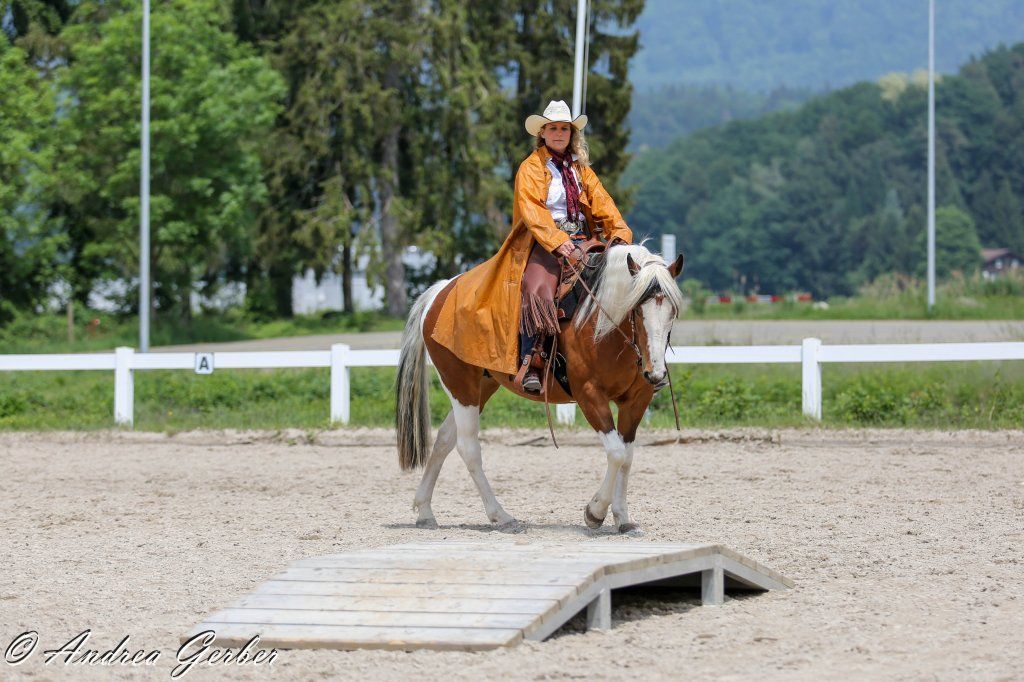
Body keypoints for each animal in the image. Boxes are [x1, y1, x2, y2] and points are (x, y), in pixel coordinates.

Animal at [395, 242, 685, 533]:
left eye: (673, 312)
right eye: (637, 309)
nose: (655, 373)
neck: (601, 326)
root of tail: (440, 292)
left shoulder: (636, 401)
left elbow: (627, 455)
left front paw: (623, 518)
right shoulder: (589, 395)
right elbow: (616, 452)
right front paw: (595, 512)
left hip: (480, 388)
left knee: (444, 439)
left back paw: (425, 511)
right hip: (460, 385)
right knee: (468, 447)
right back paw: (501, 516)